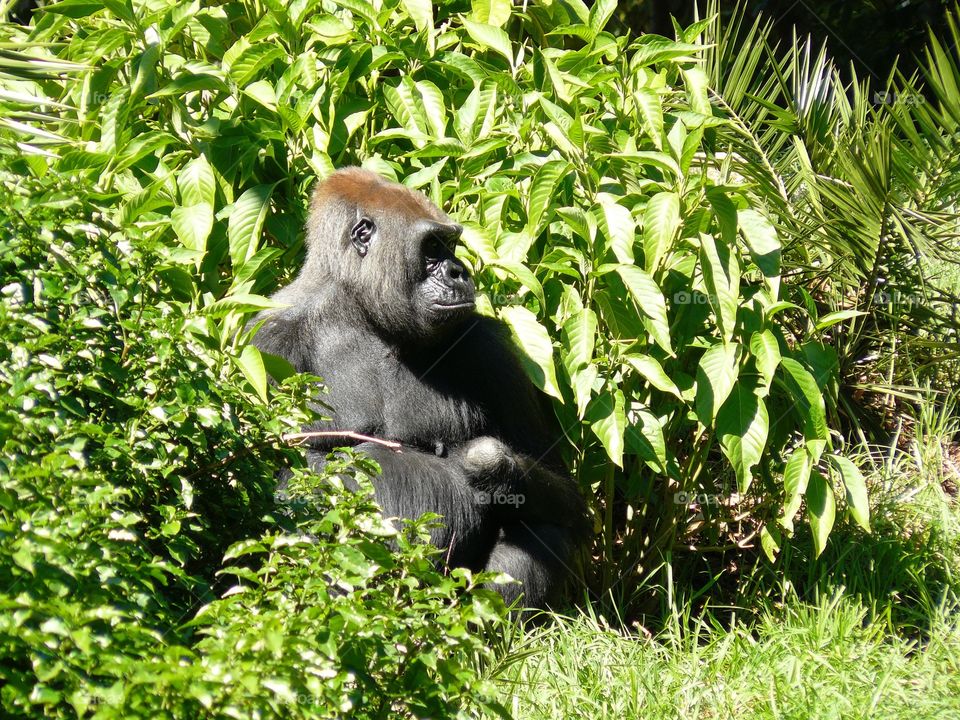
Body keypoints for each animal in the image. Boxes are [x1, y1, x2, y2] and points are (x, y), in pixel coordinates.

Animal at [251, 167, 588, 608]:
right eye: (432, 248)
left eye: (451, 244)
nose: (460, 271)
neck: (359, 310)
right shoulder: (266, 341)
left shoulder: (489, 346)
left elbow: (565, 495)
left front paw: (487, 464)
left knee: (541, 526)